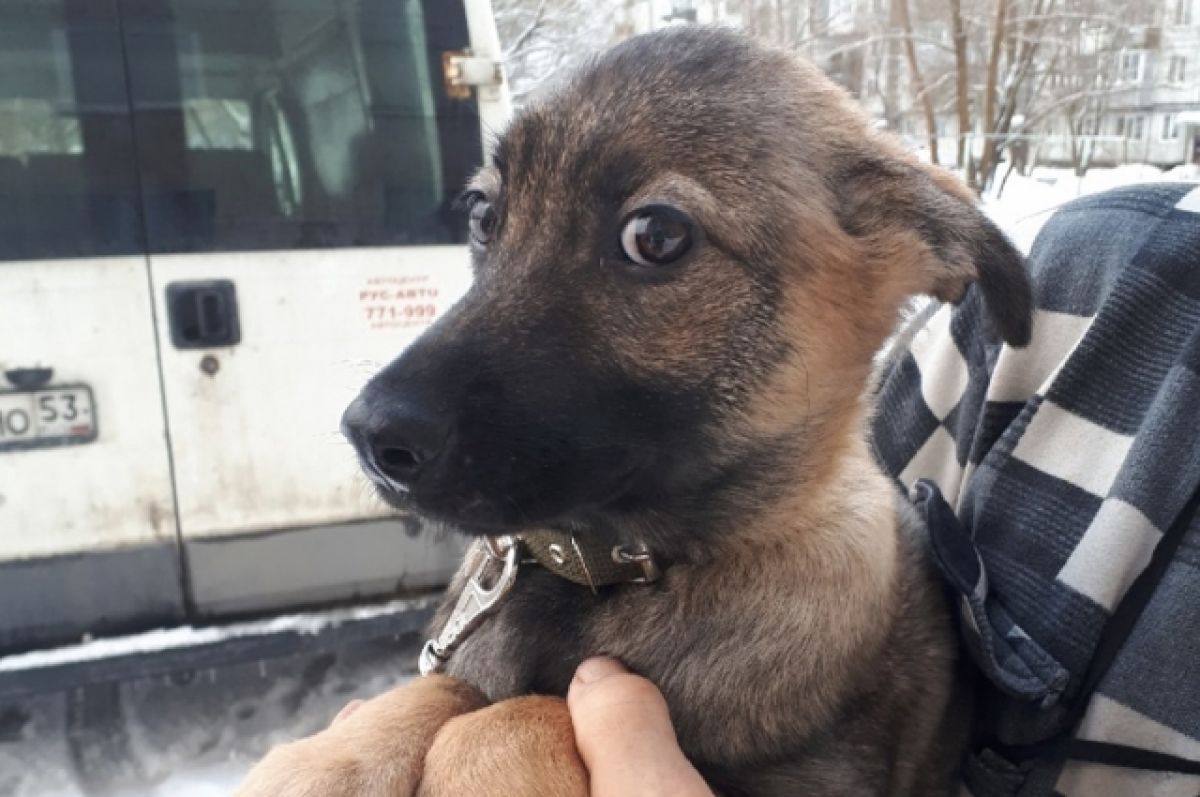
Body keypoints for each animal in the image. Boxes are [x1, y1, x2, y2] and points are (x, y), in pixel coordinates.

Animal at [236, 24, 1032, 797]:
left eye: (655, 235)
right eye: (484, 215)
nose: (370, 435)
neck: (603, 569)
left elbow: (516, 717)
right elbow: (446, 690)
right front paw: (327, 761)